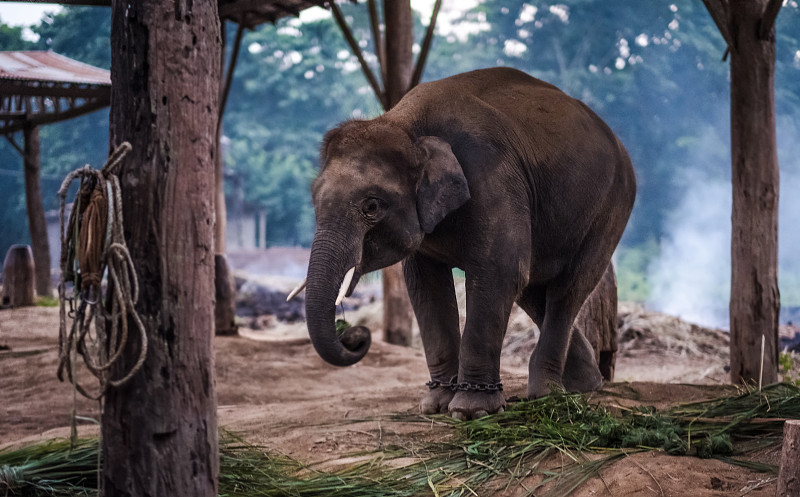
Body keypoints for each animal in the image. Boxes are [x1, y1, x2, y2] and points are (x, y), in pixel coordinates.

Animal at [296, 67, 636, 418]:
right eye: (314, 199)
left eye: (372, 206)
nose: (354, 334)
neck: (403, 124)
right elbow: (426, 287)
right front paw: (435, 406)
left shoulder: (491, 177)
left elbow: (499, 272)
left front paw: (472, 412)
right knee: (533, 291)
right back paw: (585, 384)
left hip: (611, 207)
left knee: (566, 290)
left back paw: (548, 395)